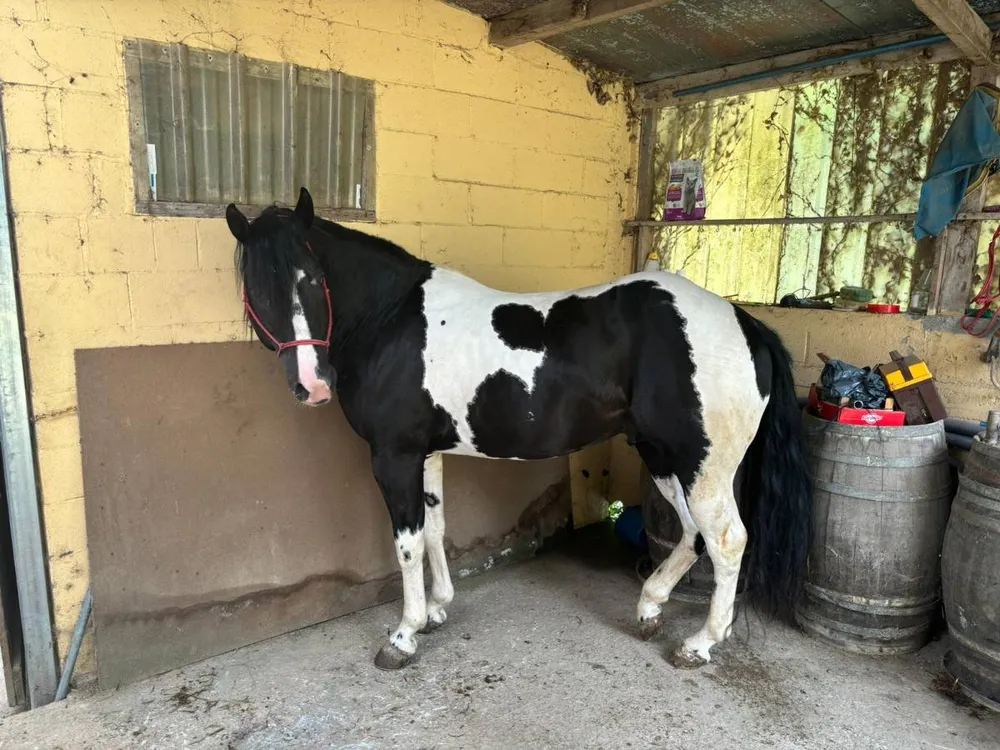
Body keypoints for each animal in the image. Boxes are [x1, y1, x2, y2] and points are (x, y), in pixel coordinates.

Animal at [225, 187, 812, 672]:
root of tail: (745, 323)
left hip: (701, 466)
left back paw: (700, 643)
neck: (390, 321)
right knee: (692, 534)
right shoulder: (425, 454)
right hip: (664, 456)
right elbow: (435, 527)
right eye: (258, 288)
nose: (313, 385)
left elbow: (407, 543)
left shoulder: (394, 456)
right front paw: (437, 609)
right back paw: (649, 608)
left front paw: (404, 635)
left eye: (312, 279)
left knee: (728, 540)